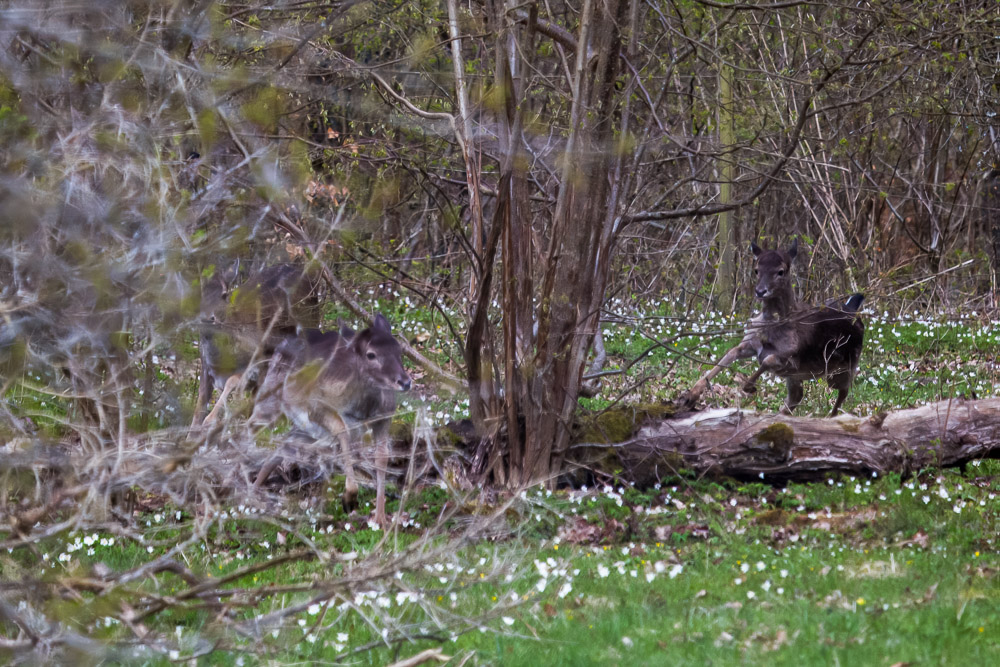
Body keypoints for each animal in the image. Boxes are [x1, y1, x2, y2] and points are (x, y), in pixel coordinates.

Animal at [191, 264, 320, 426]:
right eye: (200, 296)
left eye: (224, 294)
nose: (208, 318)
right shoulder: (205, 367)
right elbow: (199, 407)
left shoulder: (259, 357)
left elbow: (233, 382)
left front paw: (213, 420)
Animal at [252, 314, 412, 528]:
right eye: (371, 354)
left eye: (399, 349)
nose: (405, 381)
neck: (363, 407)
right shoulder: (316, 406)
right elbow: (343, 433)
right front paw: (349, 498)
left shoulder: (384, 417)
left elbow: (382, 457)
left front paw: (380, 518)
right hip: (269, 399)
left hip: (304, 427)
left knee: (284, 446)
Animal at [680, 240, 868, 418]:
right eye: (756, 269)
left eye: (781, 271)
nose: (760, 291)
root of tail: (853, 309)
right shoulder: (750, 343)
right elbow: (729, 354)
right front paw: (690, 395)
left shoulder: (792, 357)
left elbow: (767, 360)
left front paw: (748, 386)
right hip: (805, 375)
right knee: (798, 396)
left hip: (844, 366)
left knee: (843, 392)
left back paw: (831, 418)